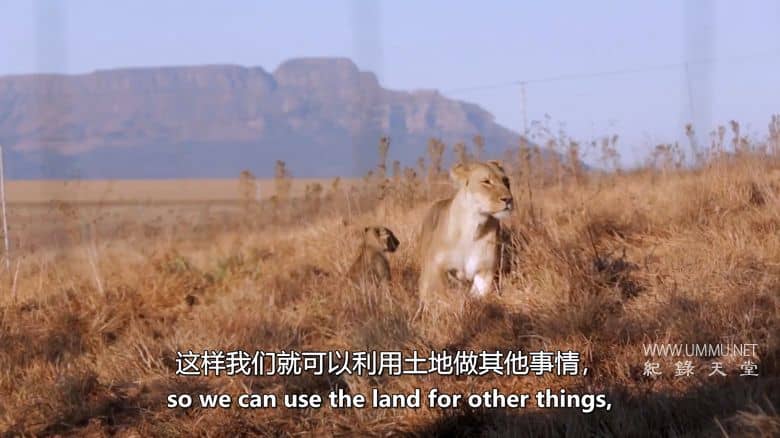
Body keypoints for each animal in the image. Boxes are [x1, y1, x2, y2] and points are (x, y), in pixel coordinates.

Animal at [417, 160, 514, 309]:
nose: (508, 199)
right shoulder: (435, 265)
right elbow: (440, 293)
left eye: (506, 181)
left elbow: (478, 295)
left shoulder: (485, 270)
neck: (474, 225)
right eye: (486, 181)